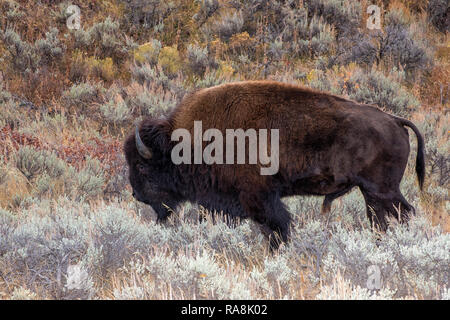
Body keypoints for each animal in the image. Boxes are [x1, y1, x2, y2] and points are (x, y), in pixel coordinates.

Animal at [124, 80, 426, 250]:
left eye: (142, 167)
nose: (136, 195)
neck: (187, 142)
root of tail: (394, 119)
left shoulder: (259, 198)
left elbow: (277, 228)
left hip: (382, 190)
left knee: (404, 214)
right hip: (372, 194)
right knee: (381, 220)